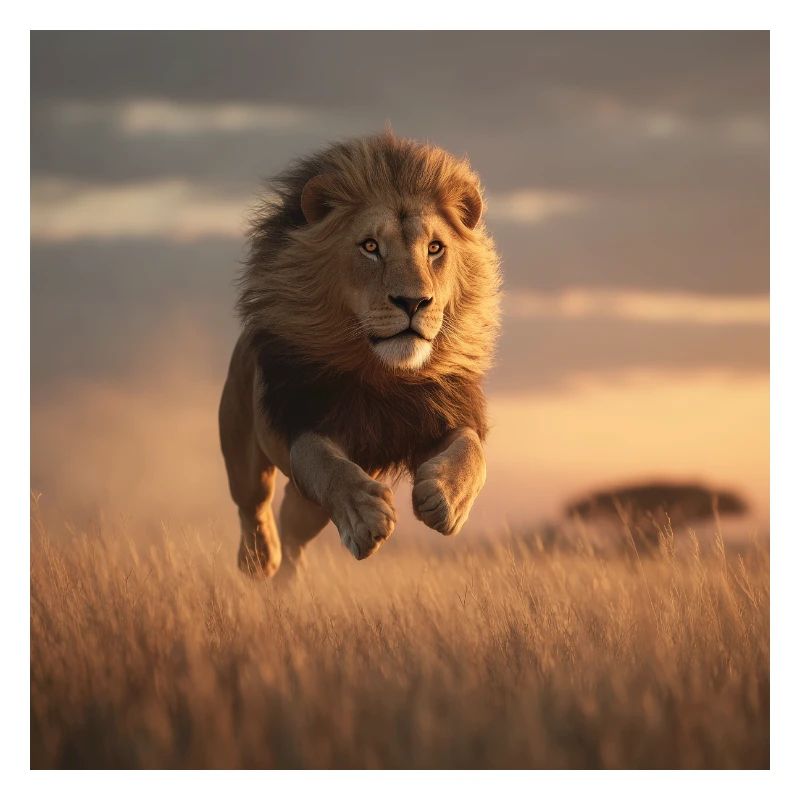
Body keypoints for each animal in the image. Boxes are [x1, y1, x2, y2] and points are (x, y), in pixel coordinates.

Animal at [218, 132, 501, 579]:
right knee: (254, 503)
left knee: (293, 530)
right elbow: (329, 466)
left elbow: (471, 451)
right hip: (242, 446)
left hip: (309, 507)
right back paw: (258, 558)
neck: (386, 372)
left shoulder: (438, 413)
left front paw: (445, 498)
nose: (413, 302)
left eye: (435, 248)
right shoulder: (306, 421)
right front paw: (366, 517)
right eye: (370, 247)